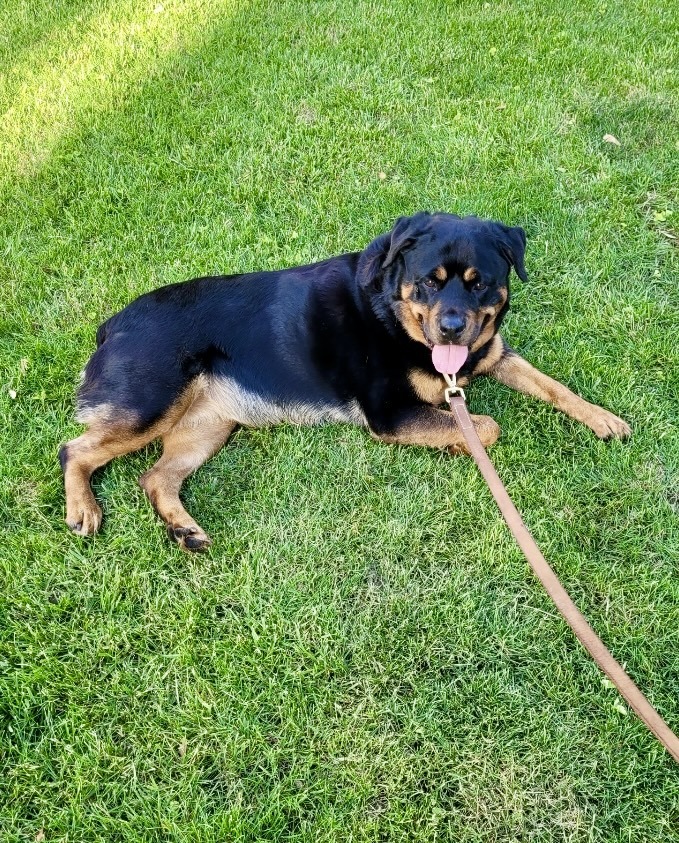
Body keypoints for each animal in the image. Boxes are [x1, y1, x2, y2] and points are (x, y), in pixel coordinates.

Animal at [59, 214, 632, 552]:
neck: (392, 311)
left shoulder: (493, 355)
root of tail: (112, 325)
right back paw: (83, 508)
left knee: (156, 477)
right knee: (75, 449)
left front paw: (603, 419)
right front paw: (458, 441)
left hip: (206, 425)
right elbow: (484, 425)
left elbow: (553, 386)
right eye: (428, 282)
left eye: (480, 284)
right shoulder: (390, 413)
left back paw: (185, 530)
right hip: (150, 404)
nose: (452, 328)